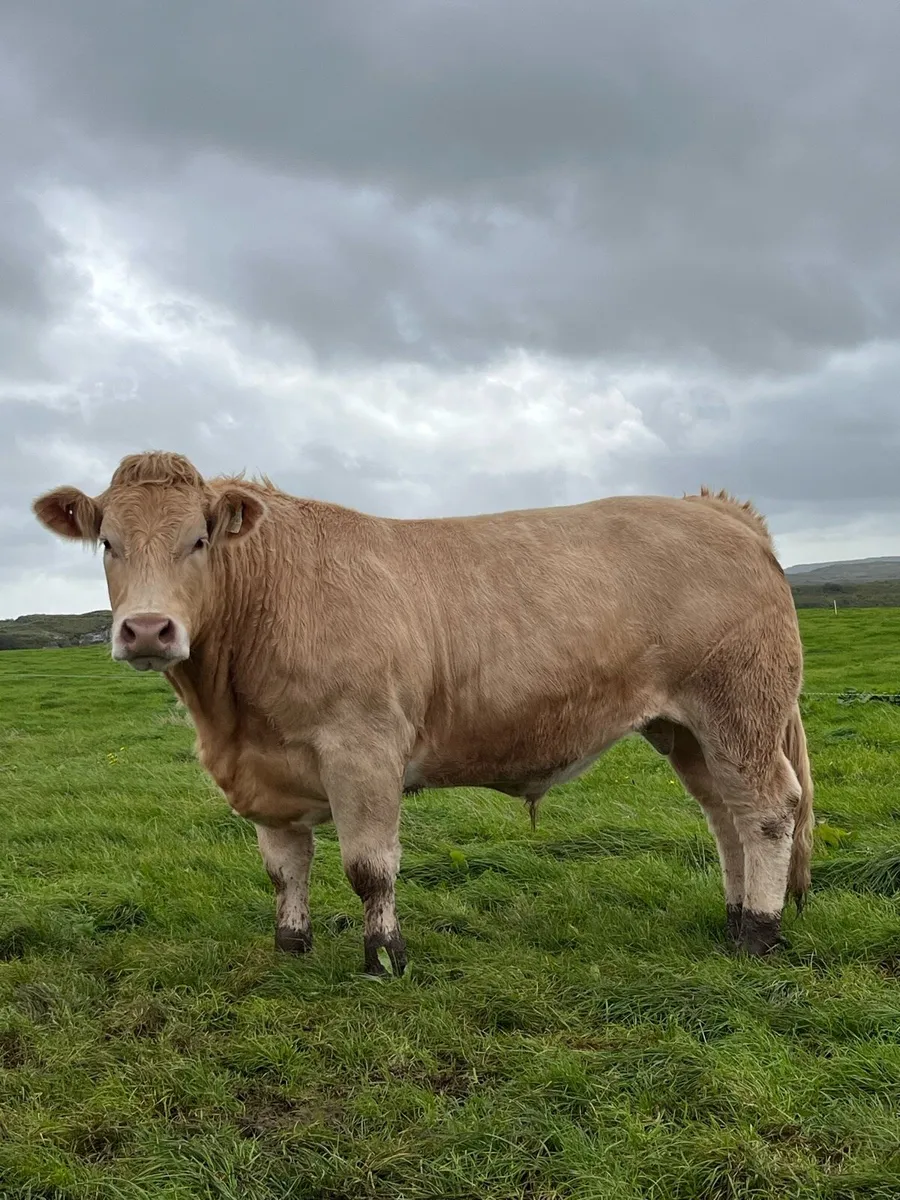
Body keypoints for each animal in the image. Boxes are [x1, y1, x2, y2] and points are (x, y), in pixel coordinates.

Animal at [33, 451, 814, 976]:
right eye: (109, 543)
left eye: (197, 540)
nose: (147, 630)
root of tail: (714, 506)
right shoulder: (265, 772)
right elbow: (285, 869)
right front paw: (292, 945)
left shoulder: (363, 747)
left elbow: (369, 867)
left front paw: (385, 956)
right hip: (686, 727)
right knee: (725, 815)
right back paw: (736, 915)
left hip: (740, 706)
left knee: (768, 809)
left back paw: (760, 932)